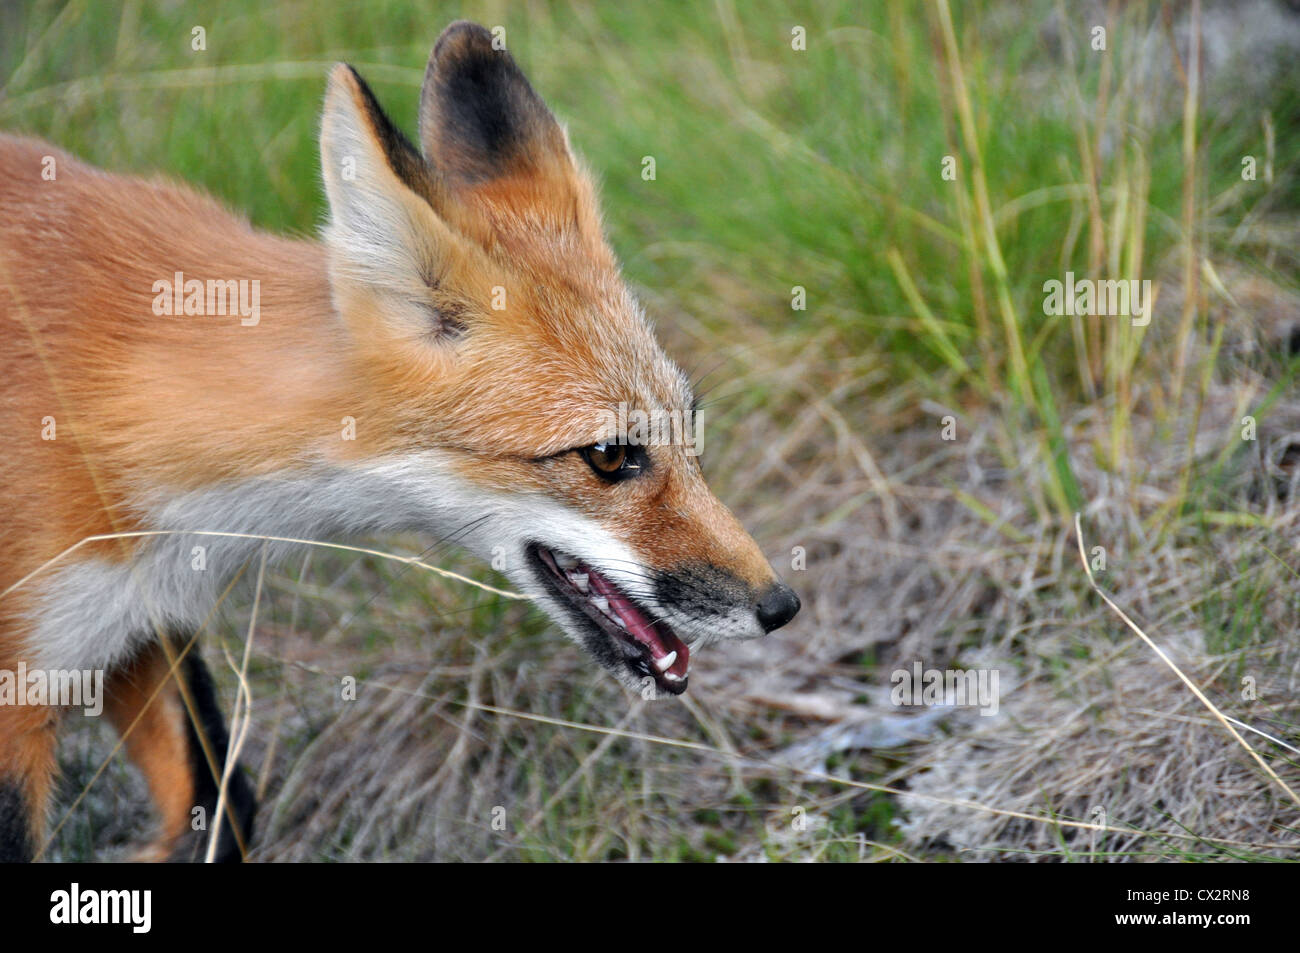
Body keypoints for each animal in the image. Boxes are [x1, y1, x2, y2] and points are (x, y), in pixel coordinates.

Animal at [0, 20, 795, 863]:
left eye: (689, 426)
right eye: (609, 455)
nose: (782, 606)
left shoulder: (141, 624)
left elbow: (226, 801)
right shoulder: (28, 682)